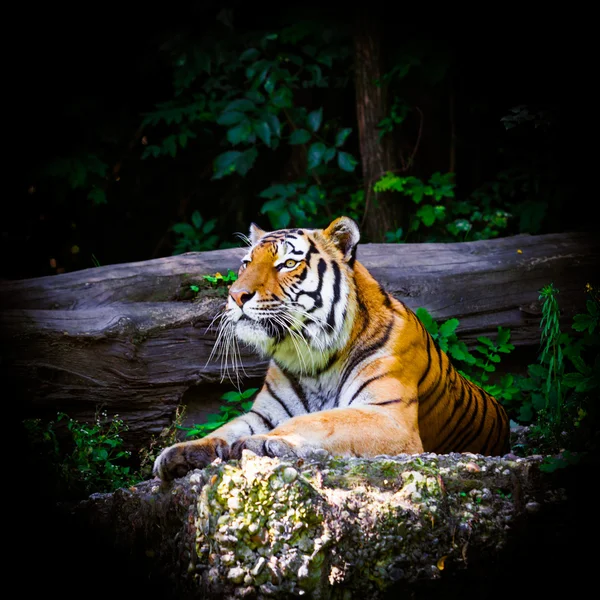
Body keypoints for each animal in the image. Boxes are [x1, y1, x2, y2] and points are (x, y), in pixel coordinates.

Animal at [152, 216, 508, 482]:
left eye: (288, 263)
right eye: (246, 263)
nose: (236, 295)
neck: (314, 361)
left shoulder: (389, 417)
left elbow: (318, 421)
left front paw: (261, 443)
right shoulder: (263, 413)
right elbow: (227, 427)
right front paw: (180, 452)